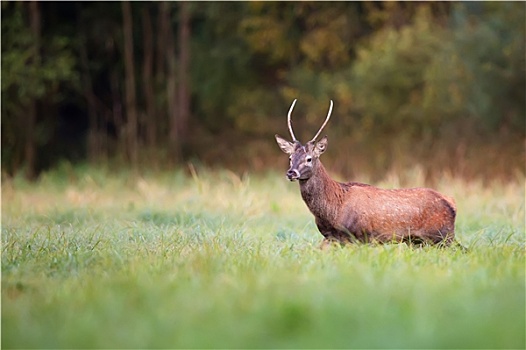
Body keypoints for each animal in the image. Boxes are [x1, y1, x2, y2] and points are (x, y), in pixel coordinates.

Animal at [274, 100, 460, 247]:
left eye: (309, 159)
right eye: (290, 157)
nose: (291, 172)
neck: (333, 211)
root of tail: (452, 203)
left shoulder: (363, 236)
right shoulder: (331, 237)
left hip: (442, 236)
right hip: (419, 241)